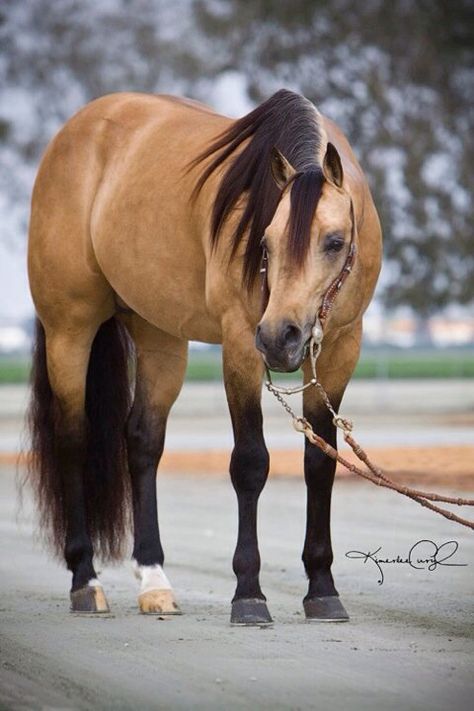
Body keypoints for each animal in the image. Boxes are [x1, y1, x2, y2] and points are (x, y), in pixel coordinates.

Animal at [25, 87, 382, 624]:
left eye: (335, 242)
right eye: (264, 243)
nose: (279, 338)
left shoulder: (342, 349)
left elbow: (320, 464)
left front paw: (322, 589)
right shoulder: (239, 348)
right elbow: (250, 464)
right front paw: (249, 594)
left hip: (159, 336)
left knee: (143, 440)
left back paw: (155, 582)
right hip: (70, 329)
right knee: (73, 438)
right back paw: (85, 582)